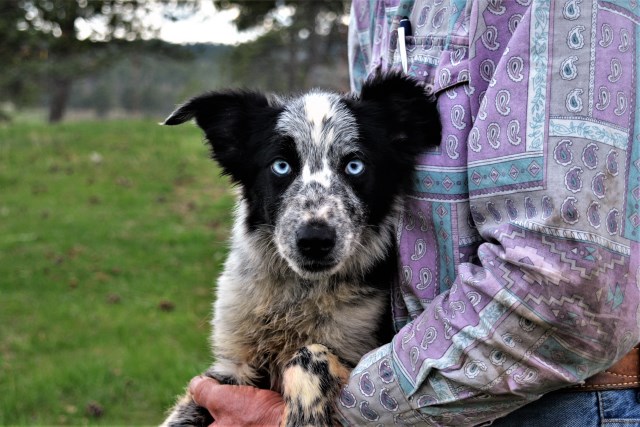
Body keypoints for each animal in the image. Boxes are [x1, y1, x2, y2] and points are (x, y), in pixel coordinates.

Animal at [160, 74, 440, 427]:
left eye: (355, 165)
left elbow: (309, 354)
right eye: (281, 166)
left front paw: (303, 415)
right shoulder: (230, 369)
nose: (314, 240)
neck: (297, 296)